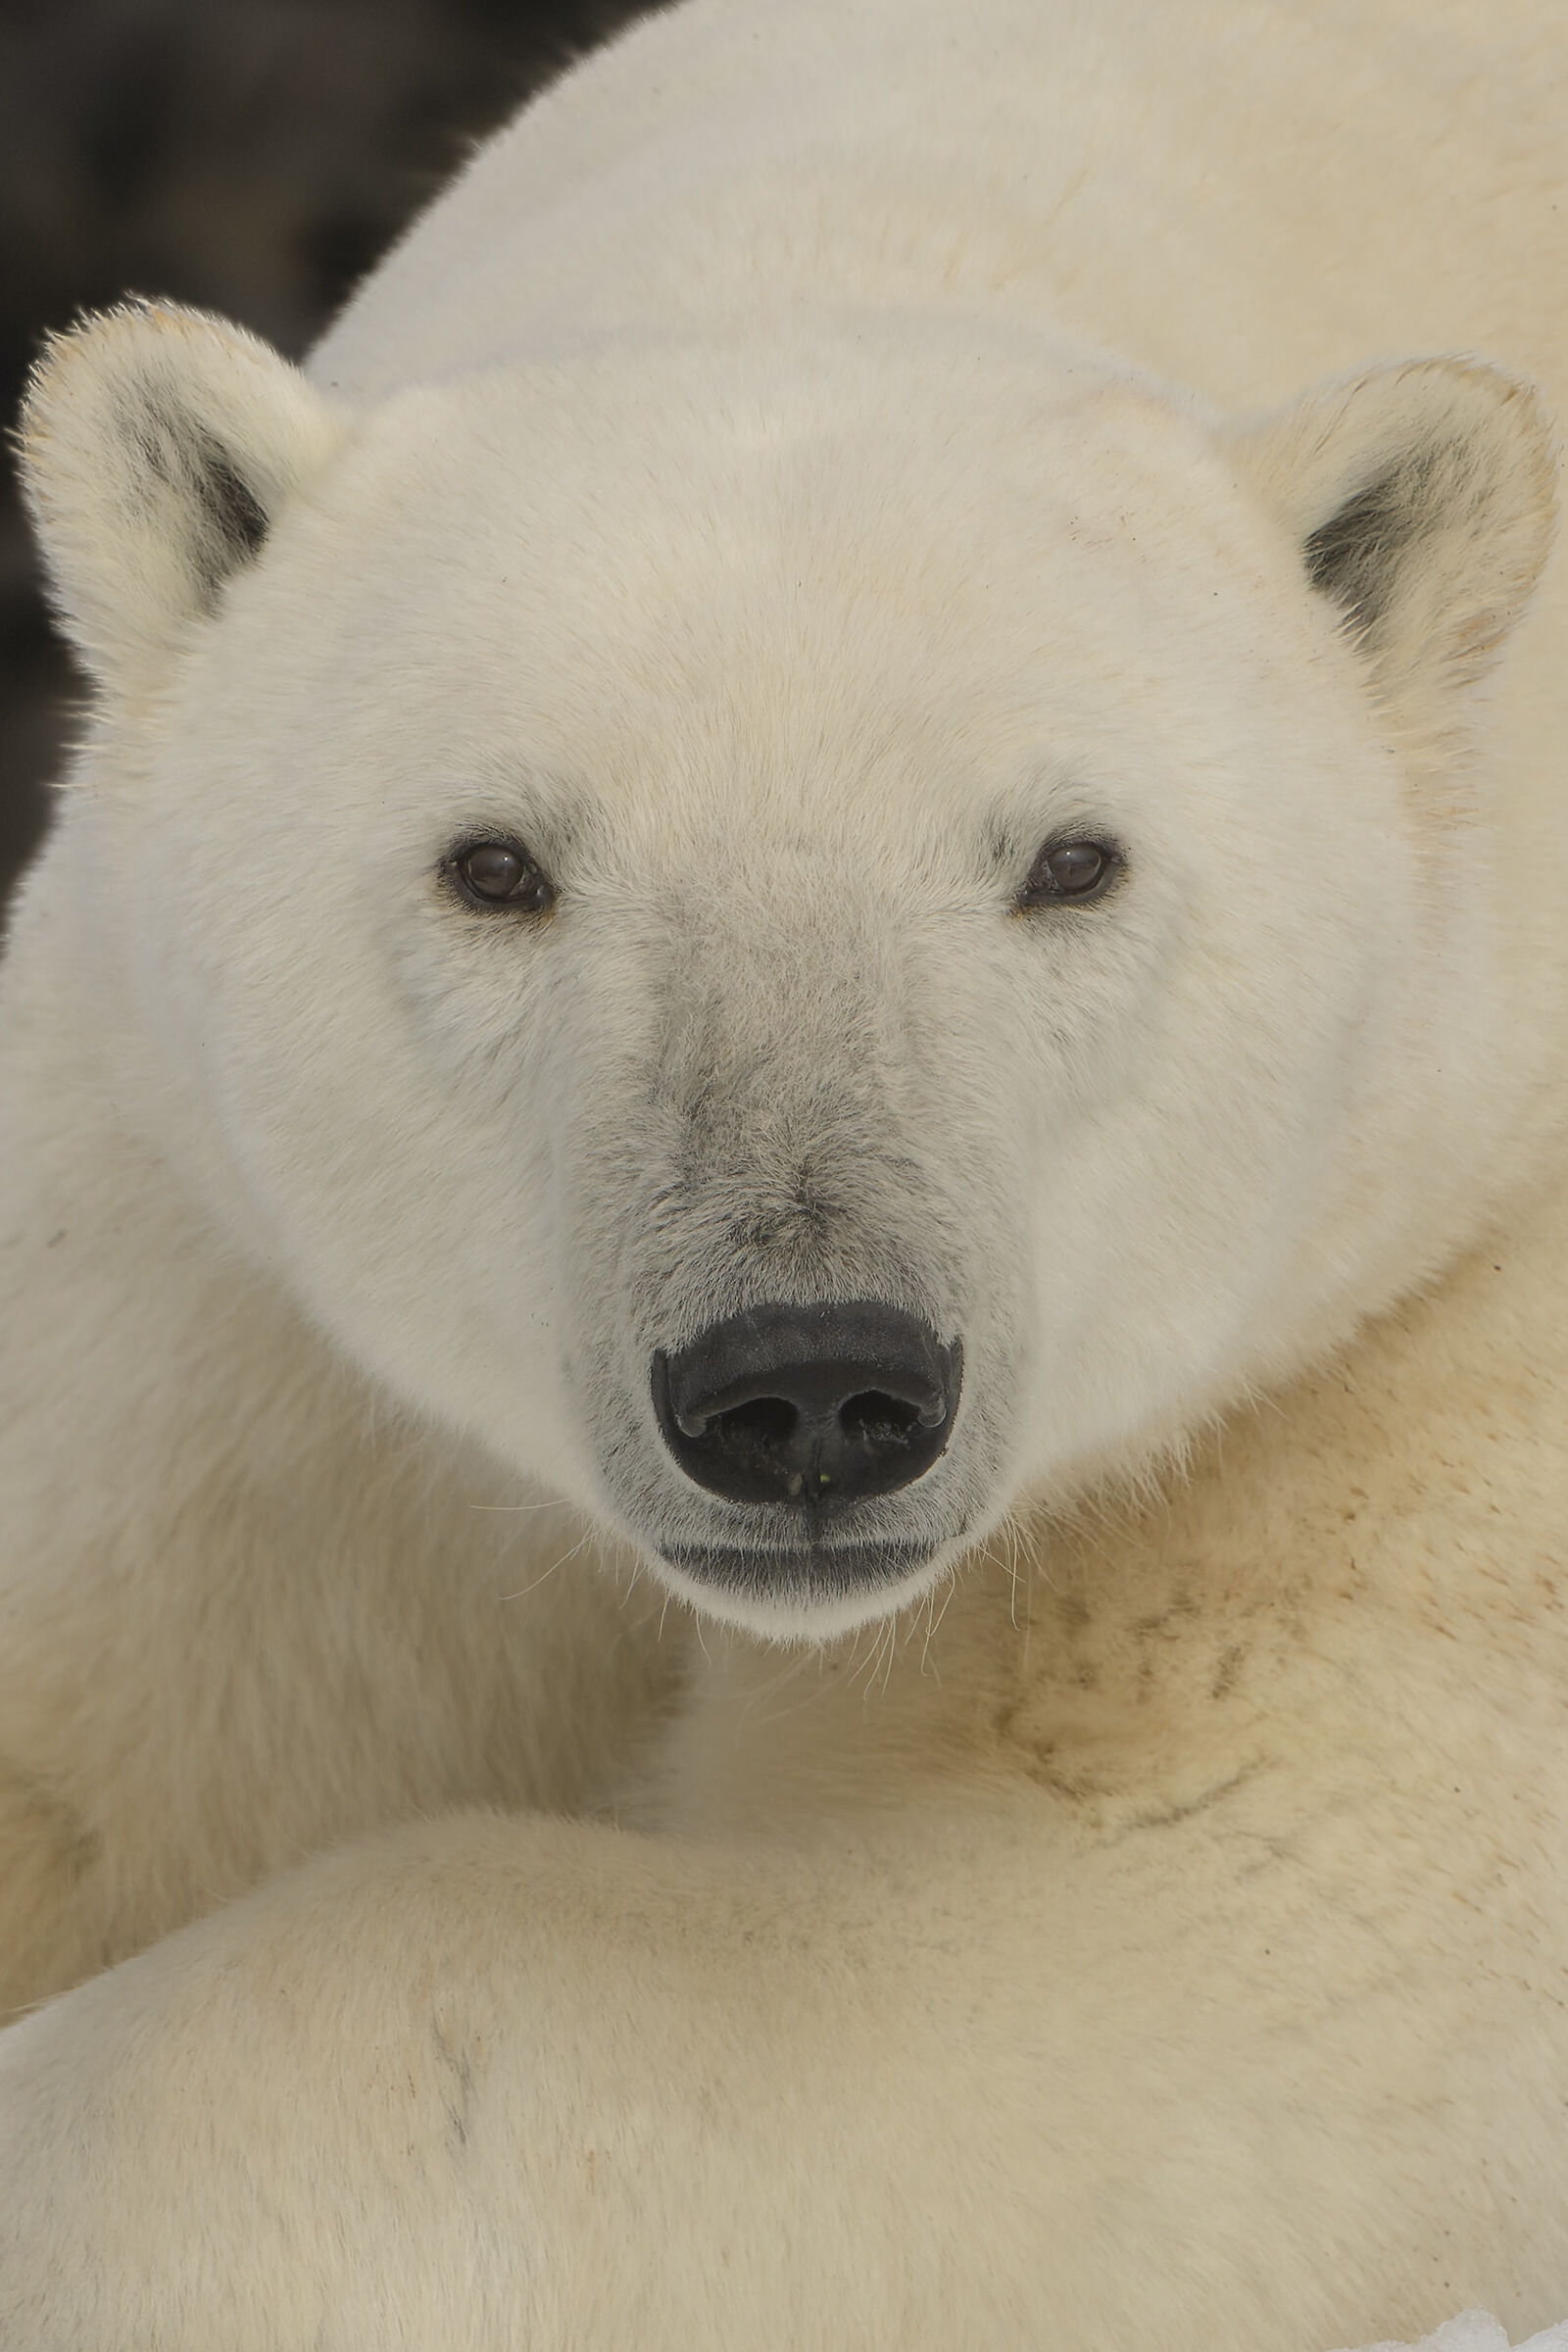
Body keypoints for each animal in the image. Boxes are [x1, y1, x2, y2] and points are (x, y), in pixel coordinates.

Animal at [2, 0, 1568, 2344]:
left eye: (1070, 859)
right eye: (496, 864)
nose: (809, 1384)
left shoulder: (1413, 1337)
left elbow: (1150, 1932)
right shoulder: (223, 1304)